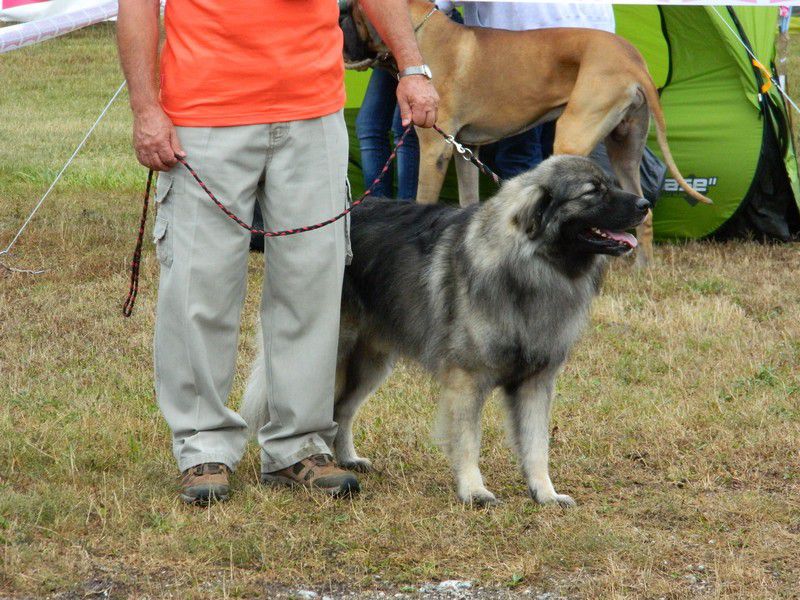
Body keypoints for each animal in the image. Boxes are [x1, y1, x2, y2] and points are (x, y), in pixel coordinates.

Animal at [346, 0, 708, 264]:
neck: (419, 31)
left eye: (345, 12)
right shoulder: (464, 149)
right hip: (625, 149)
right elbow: (467, 199)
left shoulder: (436, 147)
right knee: (642, 211)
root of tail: (632, 57)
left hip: (572, 134)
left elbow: (424, 198)